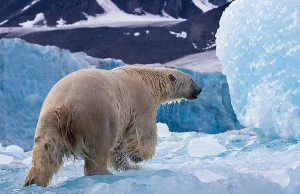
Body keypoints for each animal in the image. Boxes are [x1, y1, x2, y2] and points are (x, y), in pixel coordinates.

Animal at [24, 66, 202, 186]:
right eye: (191, 79)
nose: (200, 89)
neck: (147, 80)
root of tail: (66, 107)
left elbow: (120, 145)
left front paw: (130, 164)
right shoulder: (141, 103)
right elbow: (143, 131)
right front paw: (137, 157)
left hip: (48, 119)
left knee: (46, 152)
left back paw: (33, 180)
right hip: (98, 117)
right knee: (99, 149)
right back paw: (104, 173)